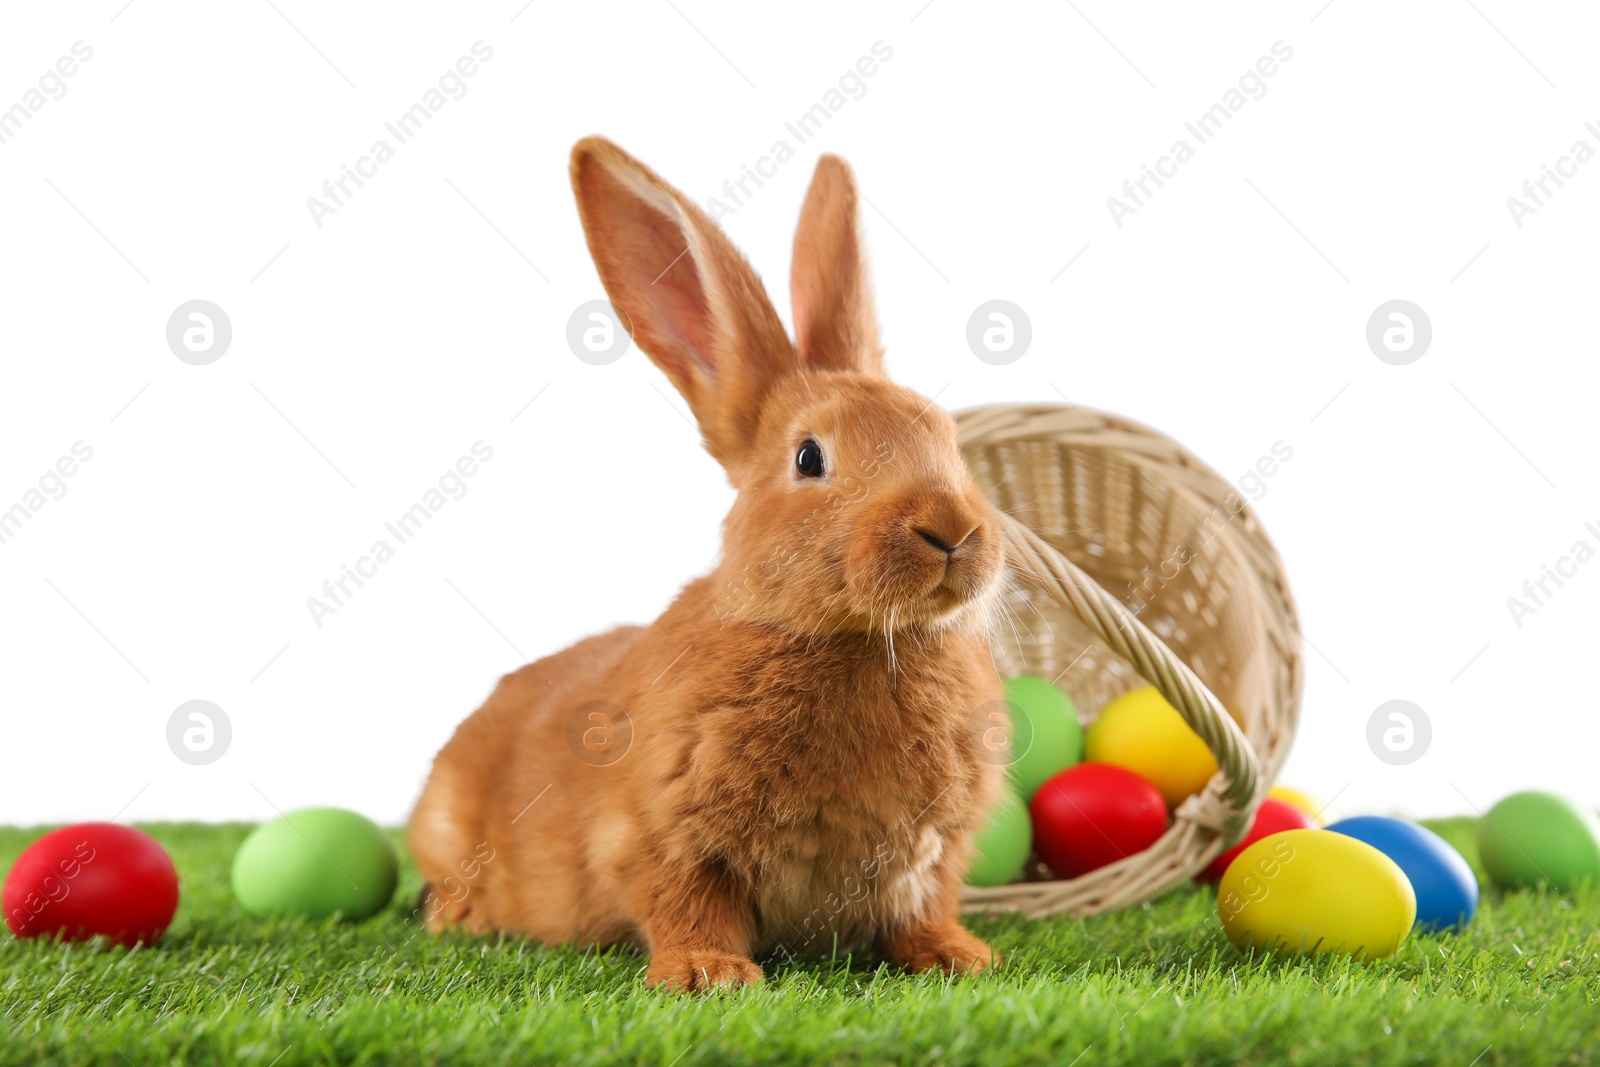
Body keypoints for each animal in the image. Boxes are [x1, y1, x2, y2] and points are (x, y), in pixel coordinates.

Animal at [406, 135, 1004, 991]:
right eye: (810, 457)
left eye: (945, 435)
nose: (951, 529)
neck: (856, 637)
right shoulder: (659, 834)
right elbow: (687, 901)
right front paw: (706, 974)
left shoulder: (936, 852)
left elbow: (923, 907)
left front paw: (959, 956)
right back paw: (461, 917)